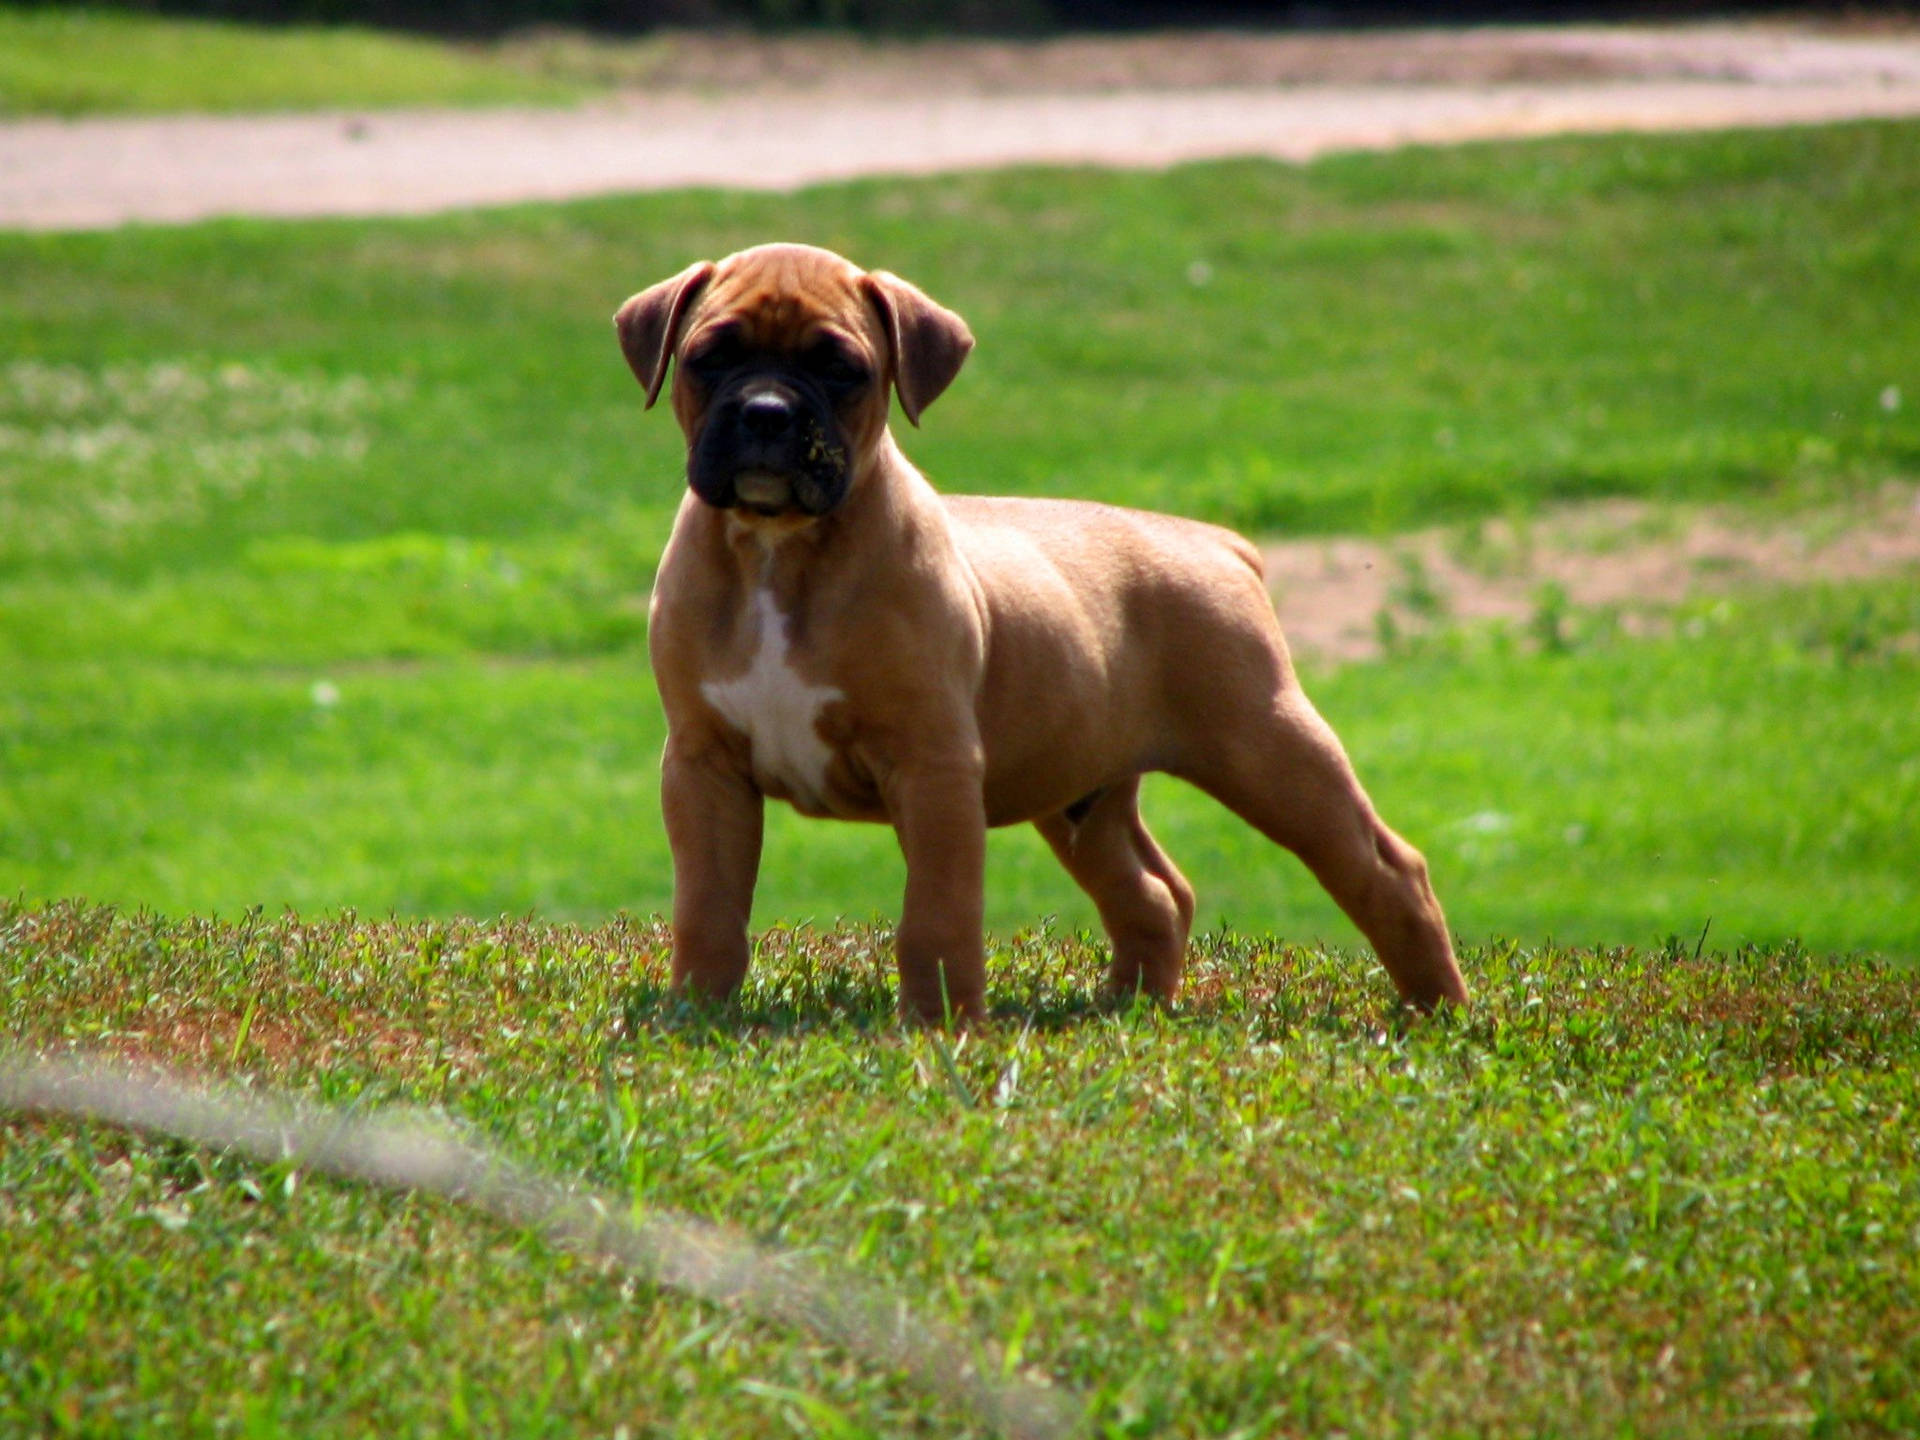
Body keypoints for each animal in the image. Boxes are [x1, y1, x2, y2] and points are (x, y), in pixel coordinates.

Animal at [614, 242, 1466, 1029]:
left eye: (841, 368)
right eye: (709, 357)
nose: (766, 411)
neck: (778, 547)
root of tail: (1216, 542)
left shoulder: (933, 769)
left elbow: (937, 914)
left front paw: (941, 1027)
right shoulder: (703, 768)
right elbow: (709, 906)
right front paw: (699, 1010)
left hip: (1270, 751)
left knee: (1387, 869)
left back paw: (1440, 1010)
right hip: (1083, 793)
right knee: (1154, 893)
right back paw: (1128, 1007)